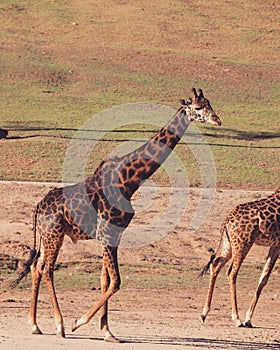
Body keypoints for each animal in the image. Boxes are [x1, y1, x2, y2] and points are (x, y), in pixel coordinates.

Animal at [10, 88, 222, 342]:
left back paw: (34, 325)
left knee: (35, 266)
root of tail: (38, 206)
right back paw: (59, 325)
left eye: (210, 103)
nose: (217, 120)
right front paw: (78, 322)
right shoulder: (107, 232)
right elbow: (116, 282)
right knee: (46, 269)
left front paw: (107, 332)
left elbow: (105, 281)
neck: (129, 180)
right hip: (54, 235)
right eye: (198, 108)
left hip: (45, 236)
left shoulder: (114, 234)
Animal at [200, 189, 278, 328]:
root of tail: (226, 221)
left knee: (215, 264)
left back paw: (204, 313)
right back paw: (236, 318)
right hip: (243, 244)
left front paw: (249, 319)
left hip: (229, 244)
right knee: (232, 272)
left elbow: (263, 278)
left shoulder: (275, 244)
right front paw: (246, 319)